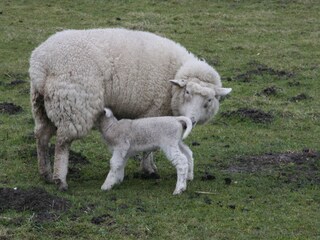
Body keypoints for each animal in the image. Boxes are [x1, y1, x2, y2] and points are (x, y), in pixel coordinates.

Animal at [28, 27, 231, 190]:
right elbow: (149, 147)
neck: (173, 80)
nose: (193, 119)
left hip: (42, 104)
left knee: (42, 136)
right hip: (74, 104)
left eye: (210, 100)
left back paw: (45, 173)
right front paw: (148, 169)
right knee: (62, 143)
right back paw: (60, 179)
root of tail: (41, 64)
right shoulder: (153, 111)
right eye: (187, 91)